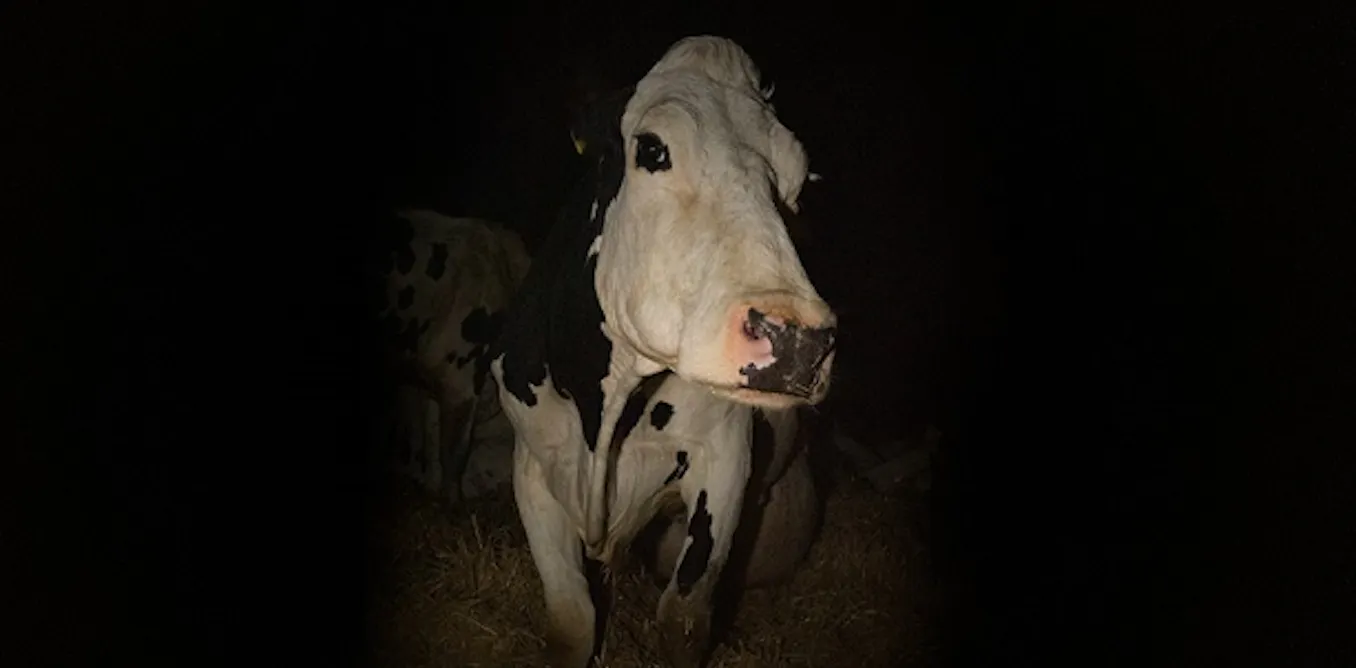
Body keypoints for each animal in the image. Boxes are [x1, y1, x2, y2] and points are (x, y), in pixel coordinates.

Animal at [488, 36, 837, 668]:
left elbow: (683, 617)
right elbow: (572, 620)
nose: (799, 340)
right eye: (652, 149)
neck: (605, 412)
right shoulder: (531, 465)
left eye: (798, 180)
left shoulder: (724, 458)